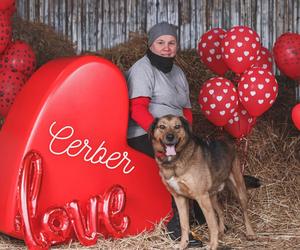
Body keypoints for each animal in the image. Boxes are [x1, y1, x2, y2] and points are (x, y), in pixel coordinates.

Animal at [150, 115, 255, 250]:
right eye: (162, 126)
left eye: (177, 126)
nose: (170, 137)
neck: (173, 162)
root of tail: (226, 139)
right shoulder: (179, 198)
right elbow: (184, 225)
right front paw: (183, 244)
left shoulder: (201, 197)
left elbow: (211, 225)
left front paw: (213, 245)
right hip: (212, 196)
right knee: (220, 211)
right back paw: (222, 230)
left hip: (238, 190)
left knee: (244, 212)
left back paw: (250, 233)